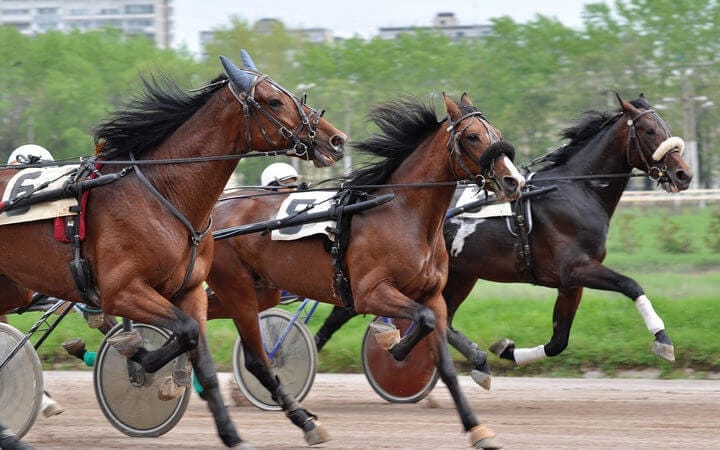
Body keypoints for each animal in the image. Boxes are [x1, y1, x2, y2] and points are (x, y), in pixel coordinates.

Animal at [0, 51, 346, 448]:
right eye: (274, 101)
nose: (336, 139)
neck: (163, 195)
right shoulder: (122, 291)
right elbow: (184, 332)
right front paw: (137, 355)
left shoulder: (190, 289)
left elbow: (200, 353)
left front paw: (232, 433)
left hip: (11, 287)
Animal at [205, 93, 524, 448]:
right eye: (472, 136)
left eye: (496, 132)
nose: (514, 181)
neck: (399, 213)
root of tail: (214, 212)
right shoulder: (369, 293)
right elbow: (420, 321)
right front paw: (392, 342)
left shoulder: (432, 295)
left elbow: (443, 358)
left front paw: (477, 428)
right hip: (238, 288)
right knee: (256, 357)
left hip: (258, 290)